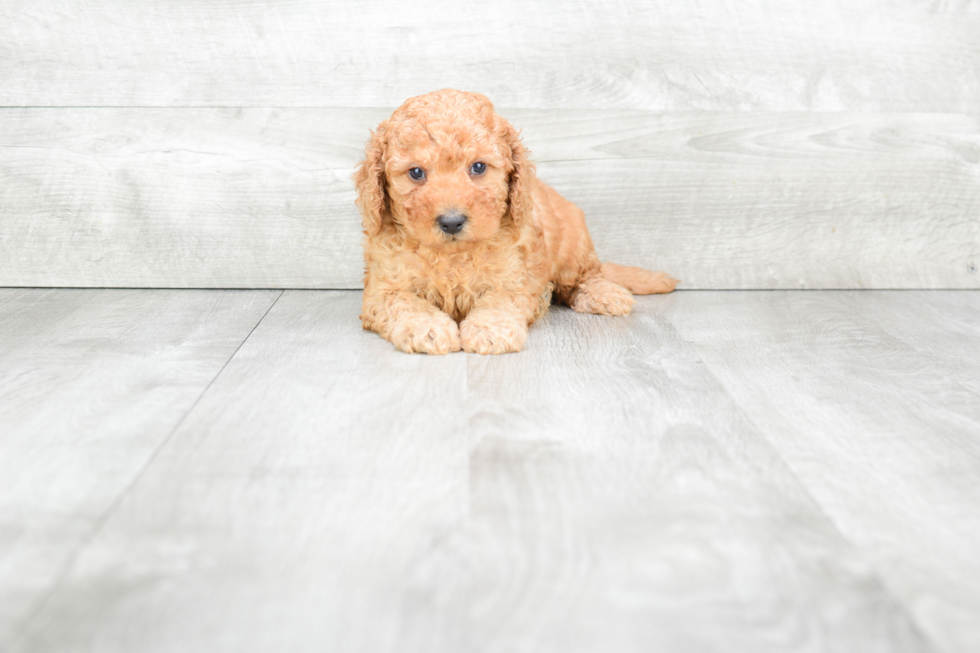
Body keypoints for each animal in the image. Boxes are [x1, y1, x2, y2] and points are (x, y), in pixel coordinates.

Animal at [354, 88, 680, 354]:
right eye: (416, 173)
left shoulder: (514, 280)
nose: (451, 221)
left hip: (574, 246)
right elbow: (405, 303)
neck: (452, 254)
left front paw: (490, 330)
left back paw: (604, 294)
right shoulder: (382, 289)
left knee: (586, 277)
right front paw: (427, 328)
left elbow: (499, 302)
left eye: (478, 167)